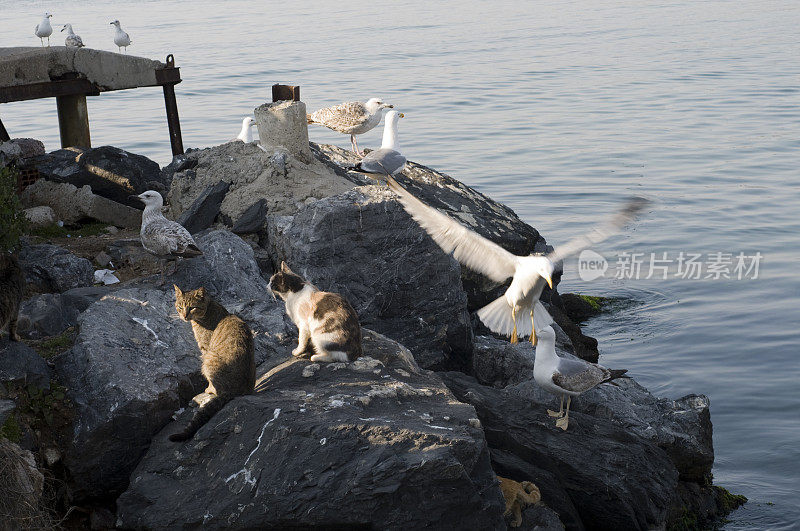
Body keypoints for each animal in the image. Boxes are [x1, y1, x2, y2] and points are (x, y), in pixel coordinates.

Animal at [170, 284, 255, 442]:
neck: (209, 307)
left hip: (209, 360)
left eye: (192, 307)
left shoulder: (205, 349)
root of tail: (236, 391)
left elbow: (209, 380)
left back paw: (211, 390)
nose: (184, 316)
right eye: (180, 306)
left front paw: (208, 388)